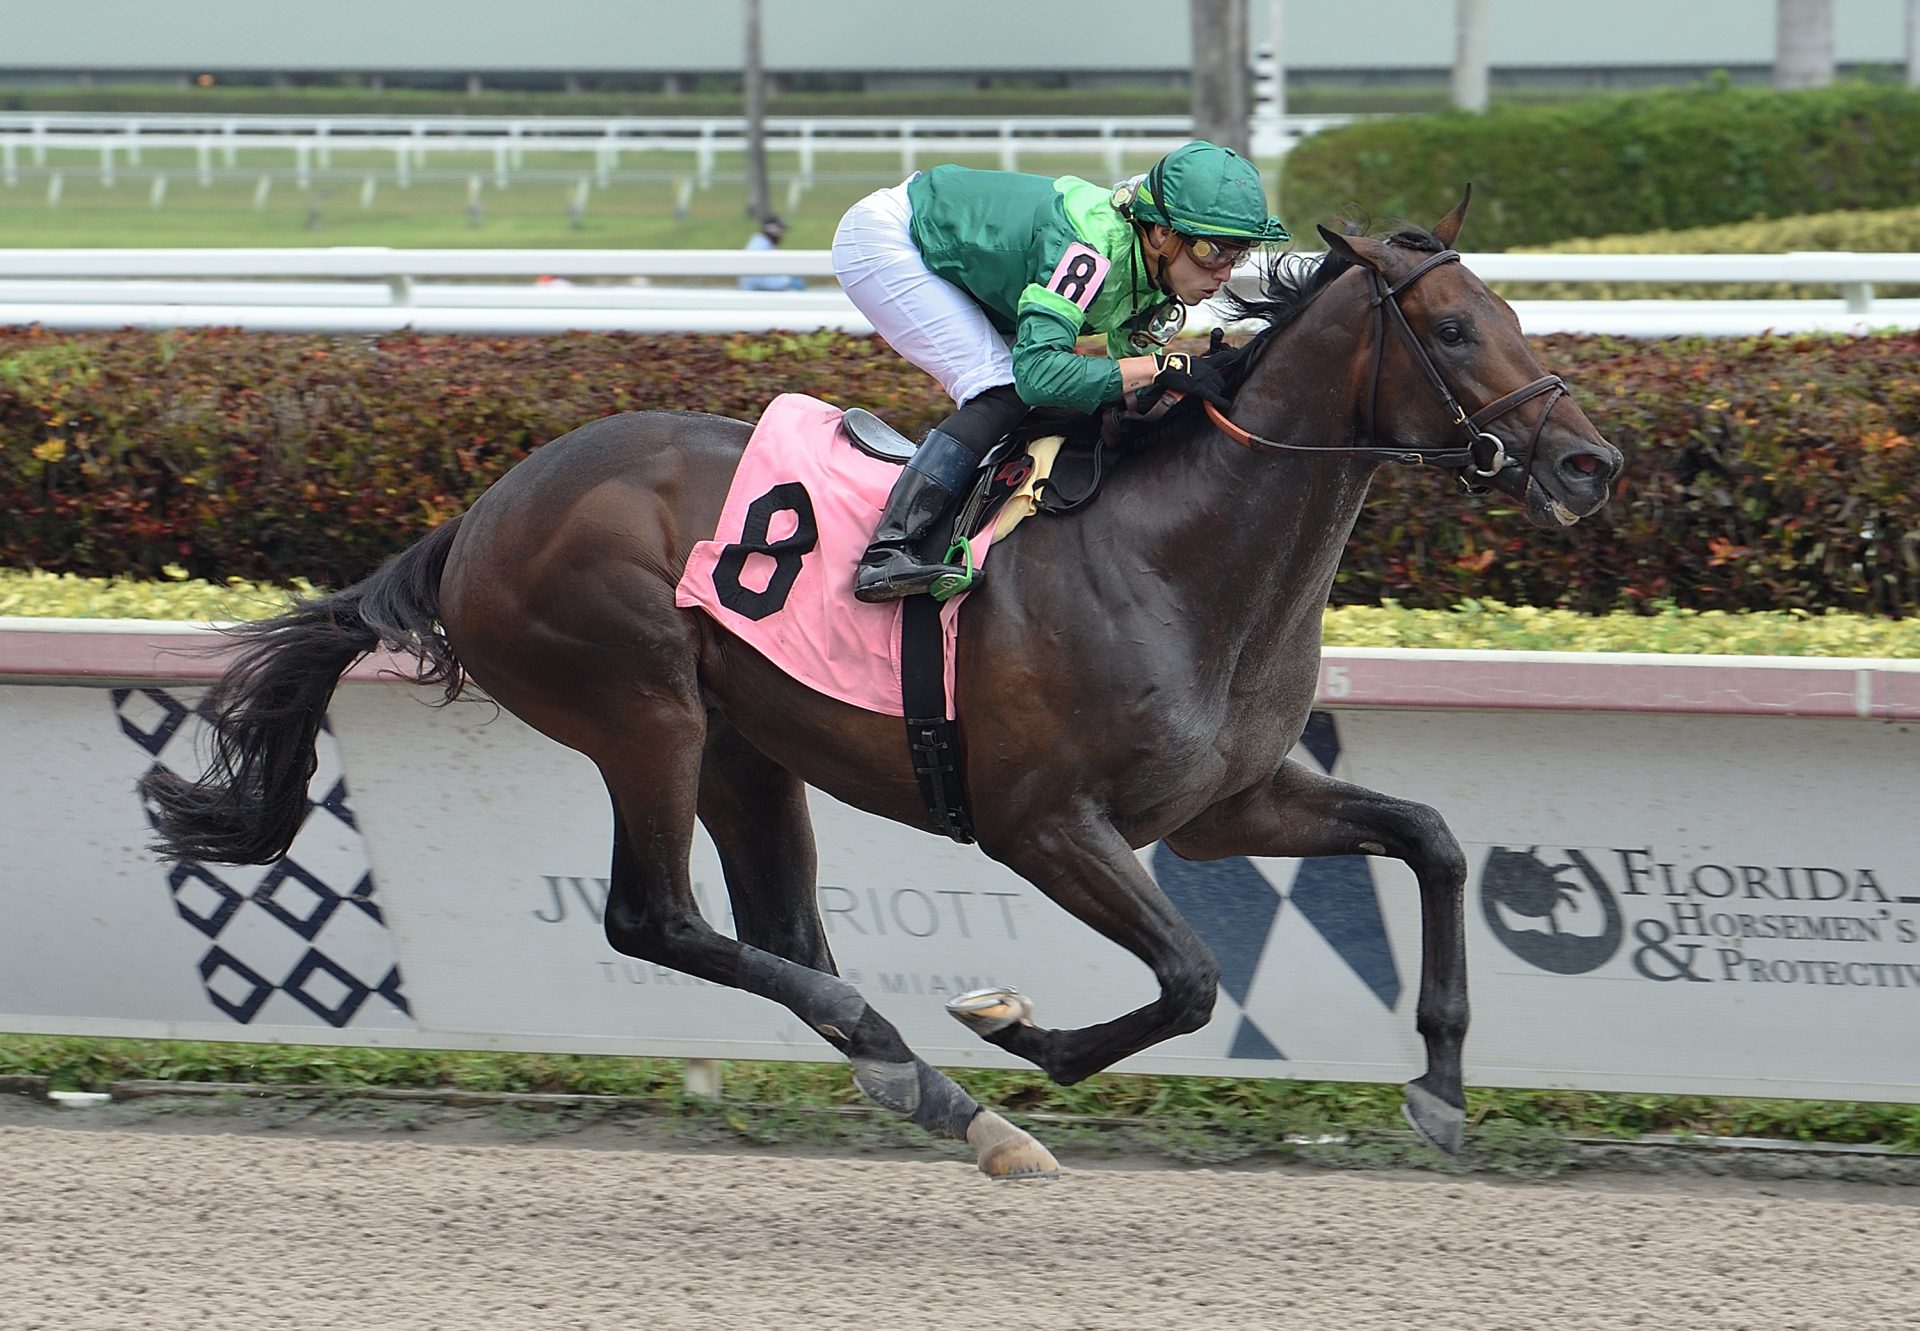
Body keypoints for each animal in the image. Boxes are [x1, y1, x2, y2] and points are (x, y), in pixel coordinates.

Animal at [145, 194, 1620, 1175]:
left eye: (1513, 311)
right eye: (1451, 327)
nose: (1589, 463)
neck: (1179, 554)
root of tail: (479, 517)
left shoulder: (1225, 805)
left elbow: (1431, 840)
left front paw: (1441, 1082)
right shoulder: (1043, 822)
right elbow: (1197, 975)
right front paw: (1018, 1028)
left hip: (746, 745)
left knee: (781, 927)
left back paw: (921, 1080)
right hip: (643, 707)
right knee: (655, 916)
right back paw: (923, 1068)